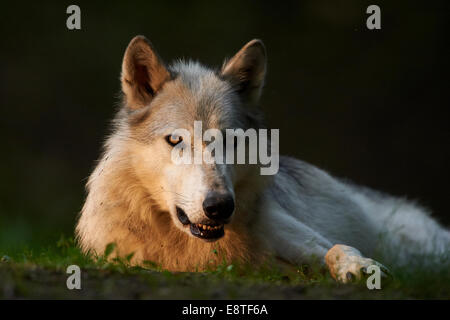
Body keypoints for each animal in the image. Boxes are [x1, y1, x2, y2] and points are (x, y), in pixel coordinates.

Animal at [75, 36, 448, 284]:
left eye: (230, 139)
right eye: (175, 140)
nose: (220, 206)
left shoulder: (302, 238)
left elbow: (338, 248)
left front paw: (357, 269)